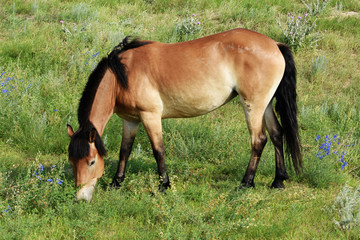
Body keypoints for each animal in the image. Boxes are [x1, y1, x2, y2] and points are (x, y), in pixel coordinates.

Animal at [67, 29, 300, 203]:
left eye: (91, 162)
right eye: (71, 161)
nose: (80, 197)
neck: (122, 75)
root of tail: (275, 44)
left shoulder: (150, 116)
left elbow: (158, 151)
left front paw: (164, 185)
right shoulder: (130, 120)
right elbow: (125, 151)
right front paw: (116, 183)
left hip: (252, 105)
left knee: (259, 140)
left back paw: (246, 183)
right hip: (265, 105)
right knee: (277, 134)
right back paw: (278, 181)